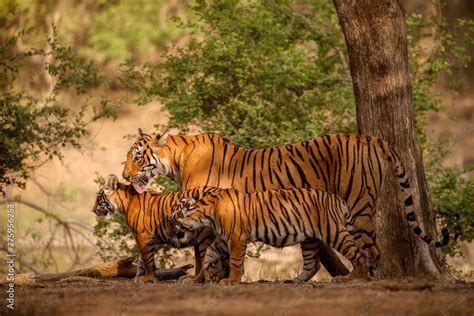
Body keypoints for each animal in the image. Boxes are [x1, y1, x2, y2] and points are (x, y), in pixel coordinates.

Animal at [91, 174, 223, 282]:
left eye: (98, 198)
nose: (92, 210)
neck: (124, 203)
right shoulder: (150, 236)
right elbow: (143, 260)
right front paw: (141, 277)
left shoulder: (142, 234)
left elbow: (146, 258)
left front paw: (147, 278)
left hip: (204, 235)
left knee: (206, 259)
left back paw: (195, 280)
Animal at [123, 130, 444, 278]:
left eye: (137, 157)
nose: (124, 176)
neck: (177, 160)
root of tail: (369, 138)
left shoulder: (203, 216)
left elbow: (203, 252)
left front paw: (204, 279)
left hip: (357, 205)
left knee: (370, 249)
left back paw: (356, 278)